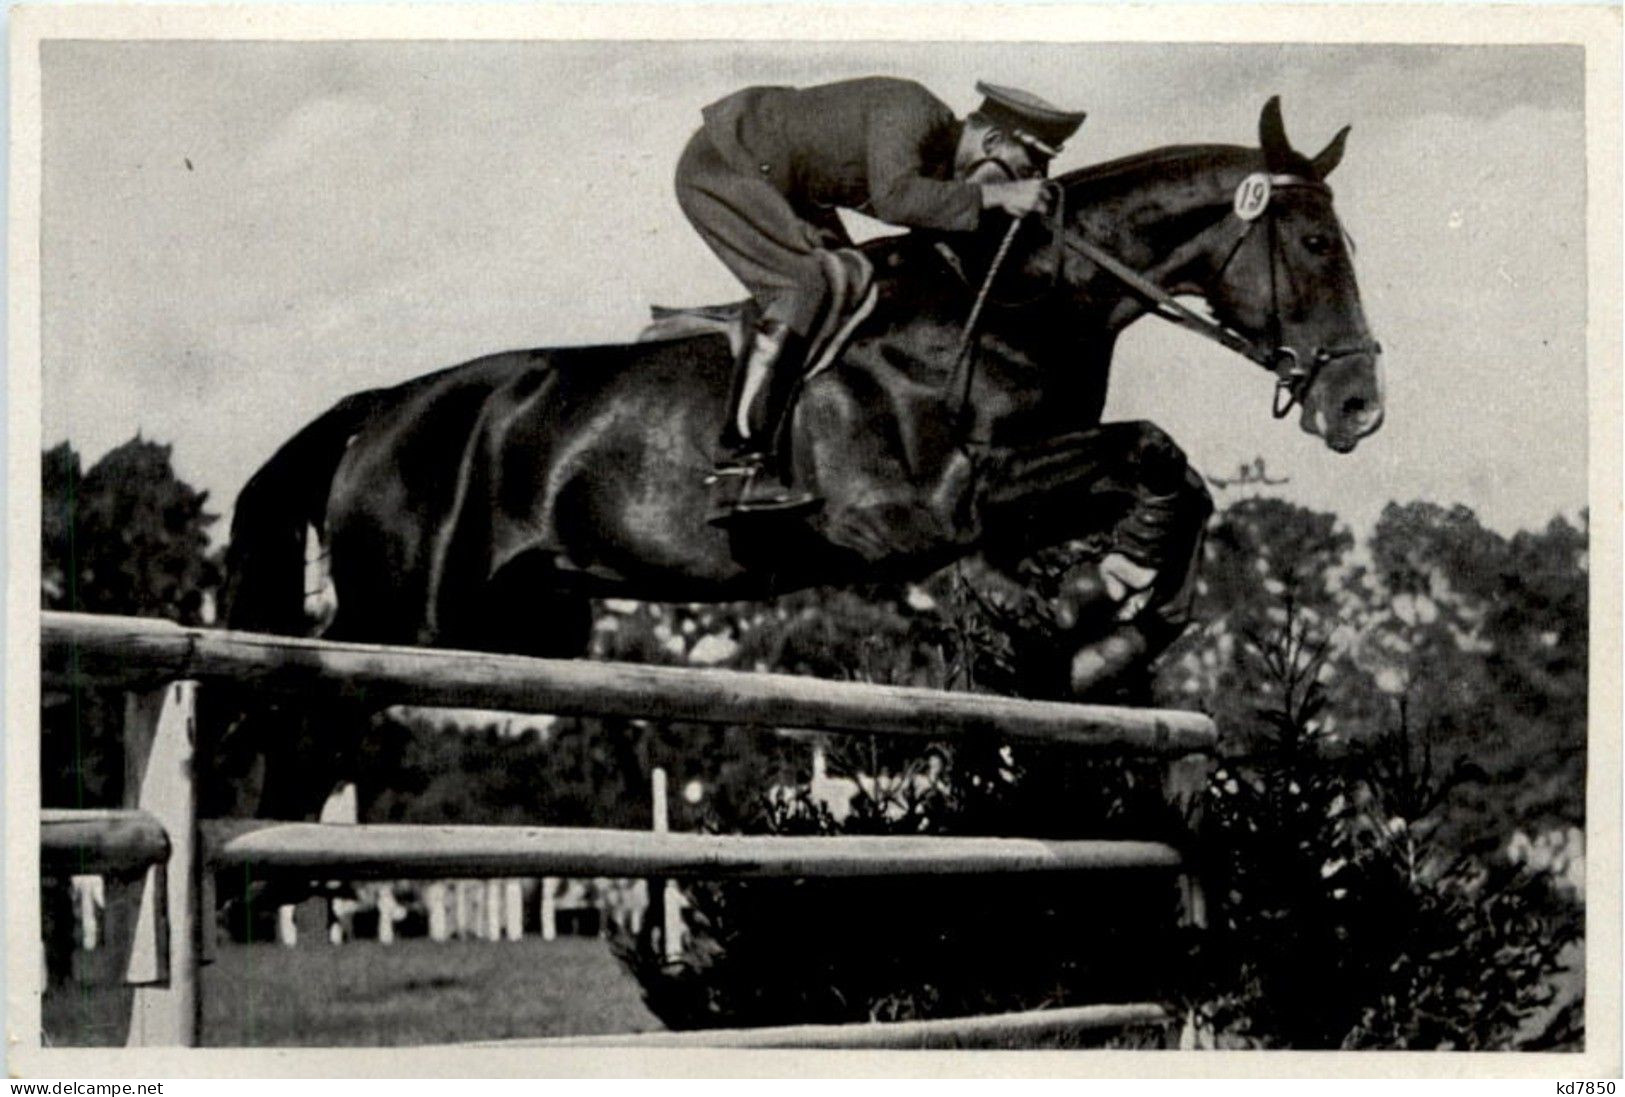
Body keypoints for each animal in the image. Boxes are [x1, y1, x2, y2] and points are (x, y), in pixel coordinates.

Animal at [212, 100, 1384, 825]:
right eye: (1315, 246)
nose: (1359, 408)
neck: (1008, 297)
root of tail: (380, 408)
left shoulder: (1014, 493)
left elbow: (1169, 482)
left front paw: (1116, 612)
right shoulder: (937, 504)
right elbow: (1151, 450)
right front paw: (1109, 608)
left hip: (511, 621)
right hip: (398, 615)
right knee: (295, 704)